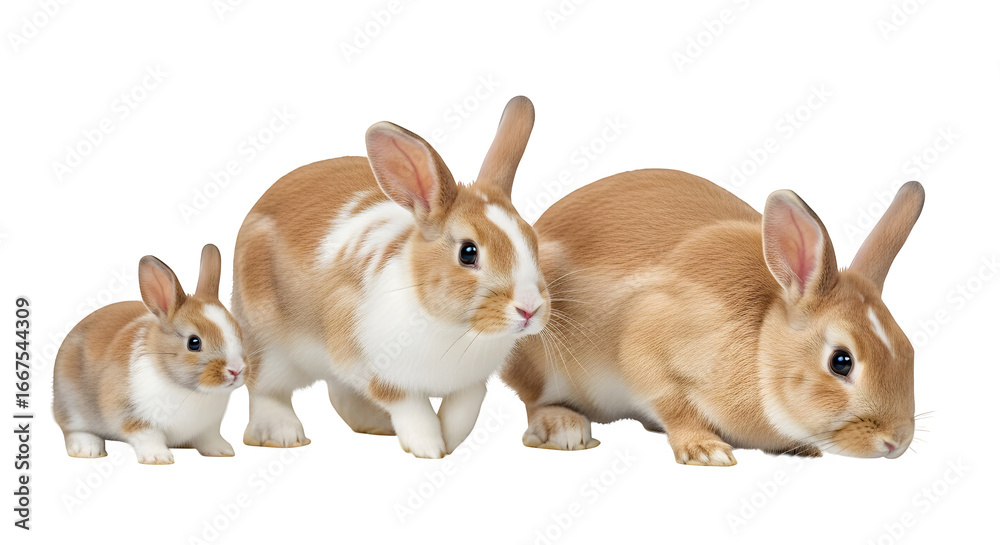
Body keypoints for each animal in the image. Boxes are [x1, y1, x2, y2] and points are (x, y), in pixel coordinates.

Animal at [53, 244, 248, 464]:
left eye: (239, 332)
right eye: (194, 343)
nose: (236, 370)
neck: (187, 390)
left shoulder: (208, 427)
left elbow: (209, 438)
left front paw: (223, 451)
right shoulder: (134, 417)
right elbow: (148, 436)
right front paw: (158, 457)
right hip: (71, 406)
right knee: (73, 429)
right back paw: (88, 449)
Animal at [232, 96, 550, 458]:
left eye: (532, 240)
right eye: (468, 253)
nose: (530, 309)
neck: (452, 328)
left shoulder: (471, 383)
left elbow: (464, 409)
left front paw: (449, 441)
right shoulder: (367, 364)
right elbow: (408, 404)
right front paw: (429, 447)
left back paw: (377, 425)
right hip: (268, 346)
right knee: (265, 389)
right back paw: (283, 434)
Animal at [502, 170, 924, 466]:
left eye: (909, 349)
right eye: (841, 361)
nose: (898, 441)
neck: (761, 343)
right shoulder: (646, 350)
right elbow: (673, 403)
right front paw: (706, 450)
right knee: (532, 399)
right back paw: (564, 429)